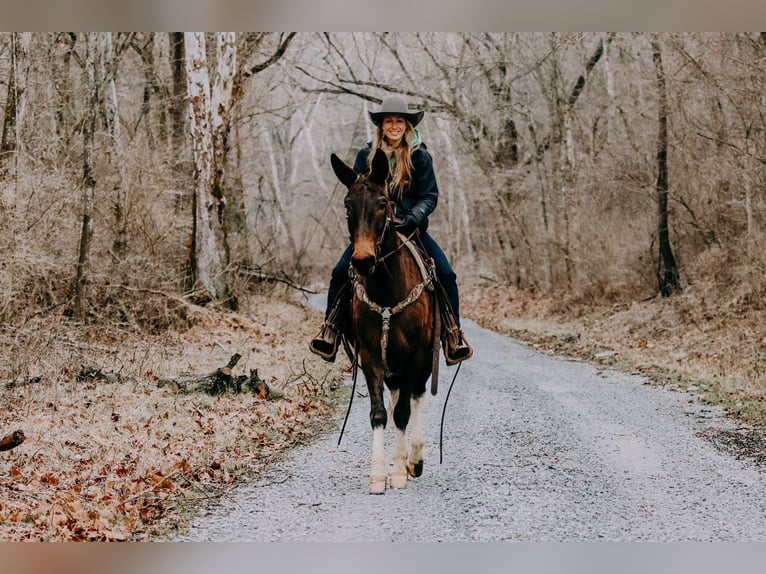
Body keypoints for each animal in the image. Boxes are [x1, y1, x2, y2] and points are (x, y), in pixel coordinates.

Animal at [332, 147, 438, 496]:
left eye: (383, 204)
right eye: (348, 205)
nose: (363, 260)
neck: (387, 289)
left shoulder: (415, 355)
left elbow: (404, 412)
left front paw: (400, 472)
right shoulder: (370, 354)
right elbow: (380, 413)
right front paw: (379, 474)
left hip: (421, 362)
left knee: (414, 397)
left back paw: (413, 459)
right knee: (395, 399)